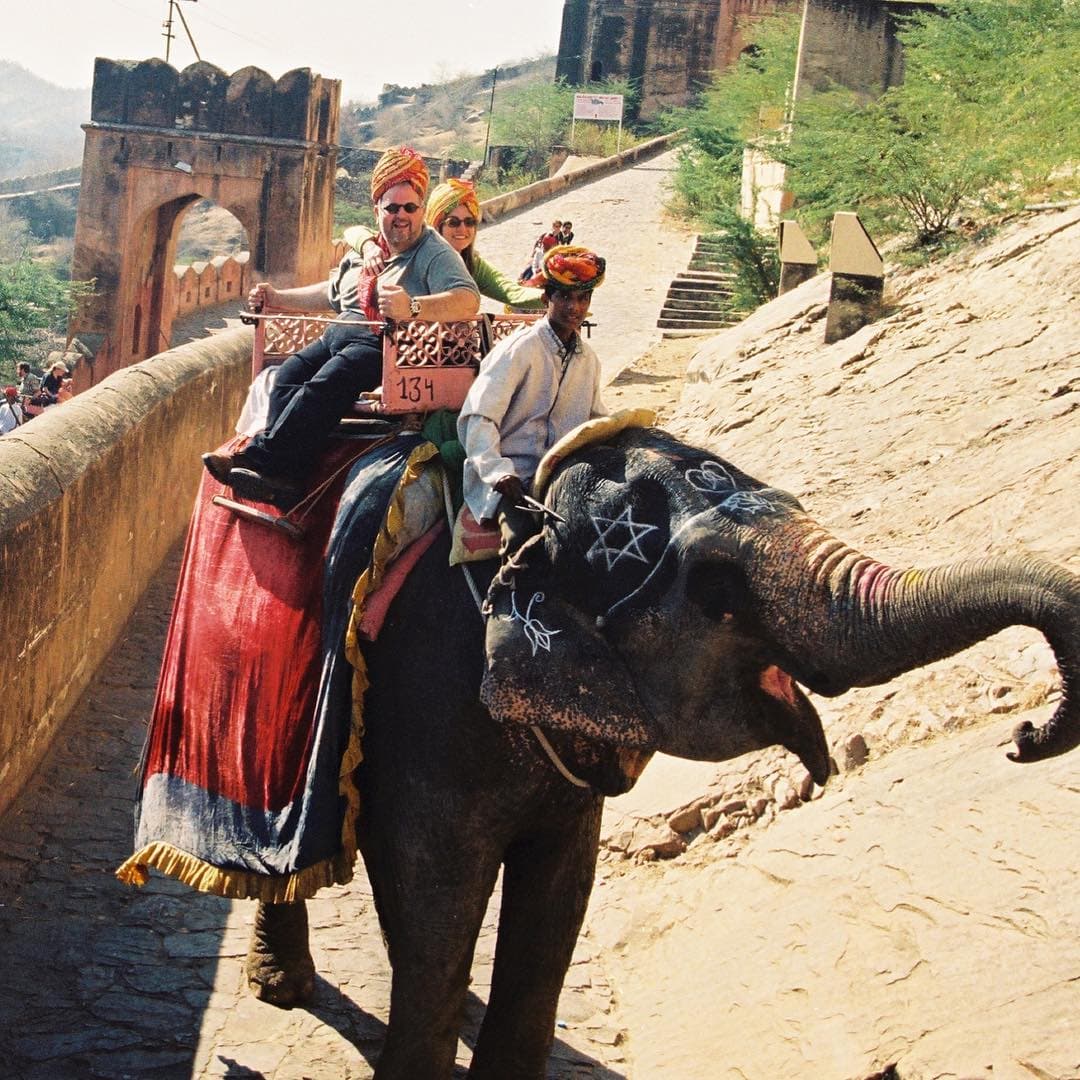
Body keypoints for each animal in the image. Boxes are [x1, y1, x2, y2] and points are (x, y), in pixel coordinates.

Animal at [245, 425, 1079, 1079]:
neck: (518, 532)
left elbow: (556, 909)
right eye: (717, 588)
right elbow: (434, 912)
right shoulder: (422, 713)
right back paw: (281, 988)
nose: (1024, 738)